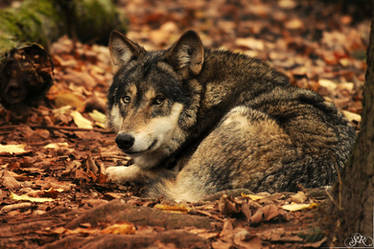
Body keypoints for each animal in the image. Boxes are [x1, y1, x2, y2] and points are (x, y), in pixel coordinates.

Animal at [104, 30, 354, 201]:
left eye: (158, 100)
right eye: (126, 99)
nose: (124, 140)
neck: (205, 101)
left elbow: (142, 168)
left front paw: (115, 170)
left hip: (239, 116)